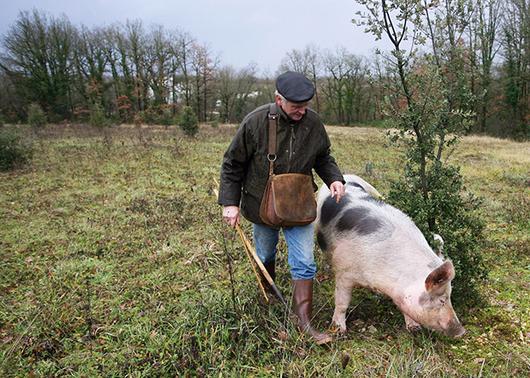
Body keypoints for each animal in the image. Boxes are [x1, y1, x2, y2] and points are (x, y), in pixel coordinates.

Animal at [316, 174, 464, 336]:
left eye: (450, 297)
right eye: (442, 300)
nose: (462, 331)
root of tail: (347, 175)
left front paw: (414, 329)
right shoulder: (344, 271)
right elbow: (342, 302)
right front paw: (339, 331)